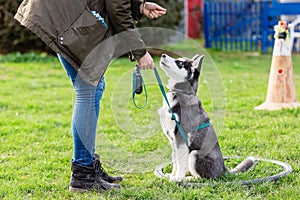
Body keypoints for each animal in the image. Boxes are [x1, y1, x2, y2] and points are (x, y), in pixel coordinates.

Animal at [157, 54, 253, 182]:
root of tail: (223, 169)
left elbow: (180, 164)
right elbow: (175, 162)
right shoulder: (173, 141)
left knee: (204, 178)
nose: (163, 55)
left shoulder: (181, 138)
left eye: (180, 63)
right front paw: (172, 175)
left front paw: (177, 178)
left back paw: (189, 179)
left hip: (194, 154)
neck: (179, 93)